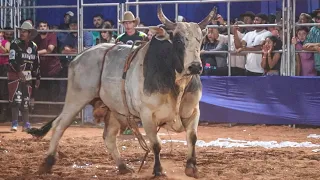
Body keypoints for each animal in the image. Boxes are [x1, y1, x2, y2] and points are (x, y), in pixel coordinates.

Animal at [28, 4, 216, 178]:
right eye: (178, 40)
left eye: (200, 40)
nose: (195, 66)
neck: (175, 80)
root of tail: (79, 57)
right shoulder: (148, 115)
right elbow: (156, 144)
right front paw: (158, 170)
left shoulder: (193, 111)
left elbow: (192, 137)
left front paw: (192, 167)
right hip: (76, 98)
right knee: (59, 125)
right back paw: (47, 163)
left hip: (113, 110)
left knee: (109, 137)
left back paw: (123, 166)